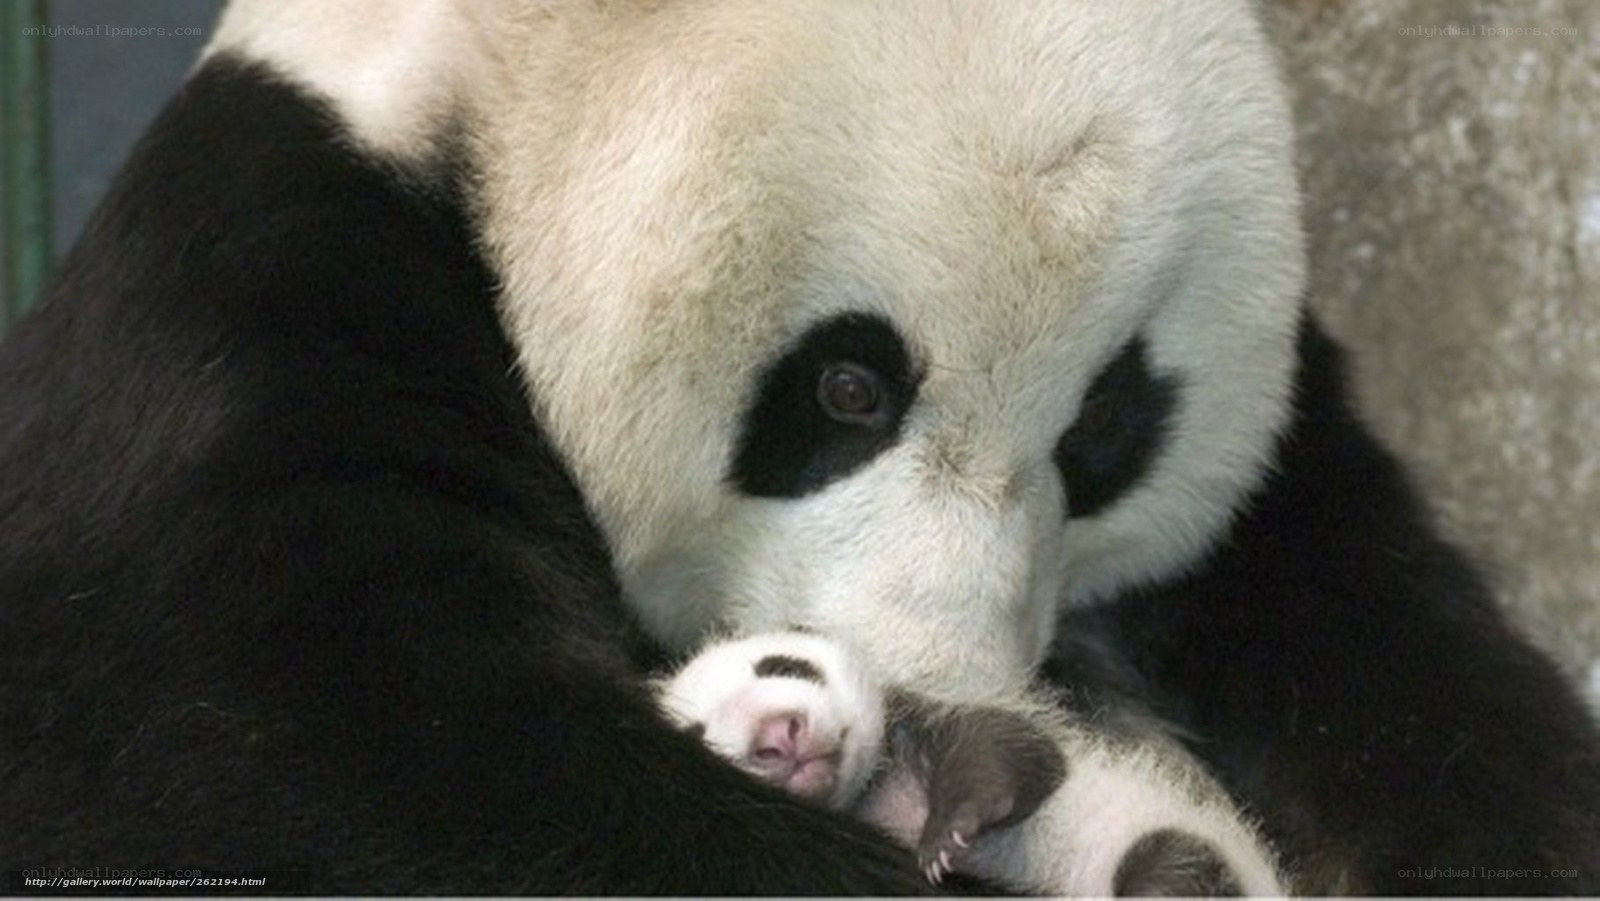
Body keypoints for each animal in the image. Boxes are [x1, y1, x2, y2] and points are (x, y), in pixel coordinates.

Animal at [2, 0, 1597, 895]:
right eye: (847, 388)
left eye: (1106, 423)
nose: (938, 686)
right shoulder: (264, 296)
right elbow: (298, 749)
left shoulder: (1290, 492)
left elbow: (1414, 684)